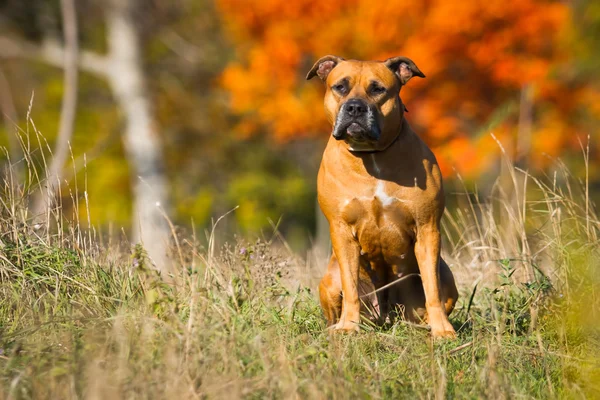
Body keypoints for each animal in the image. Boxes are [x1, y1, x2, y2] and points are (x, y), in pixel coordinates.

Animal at [308, 55, 458, 338]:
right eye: (340, 87)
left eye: (377, 89)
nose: (355, 108)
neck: (372, 155)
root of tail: (387, 314)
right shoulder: (341, 231)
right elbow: (351, 288)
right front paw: (348, 326)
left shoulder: (427, 228)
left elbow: (432, 287)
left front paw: (442, 330)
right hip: (329, 280)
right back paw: (337, 326)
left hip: (448, 280)